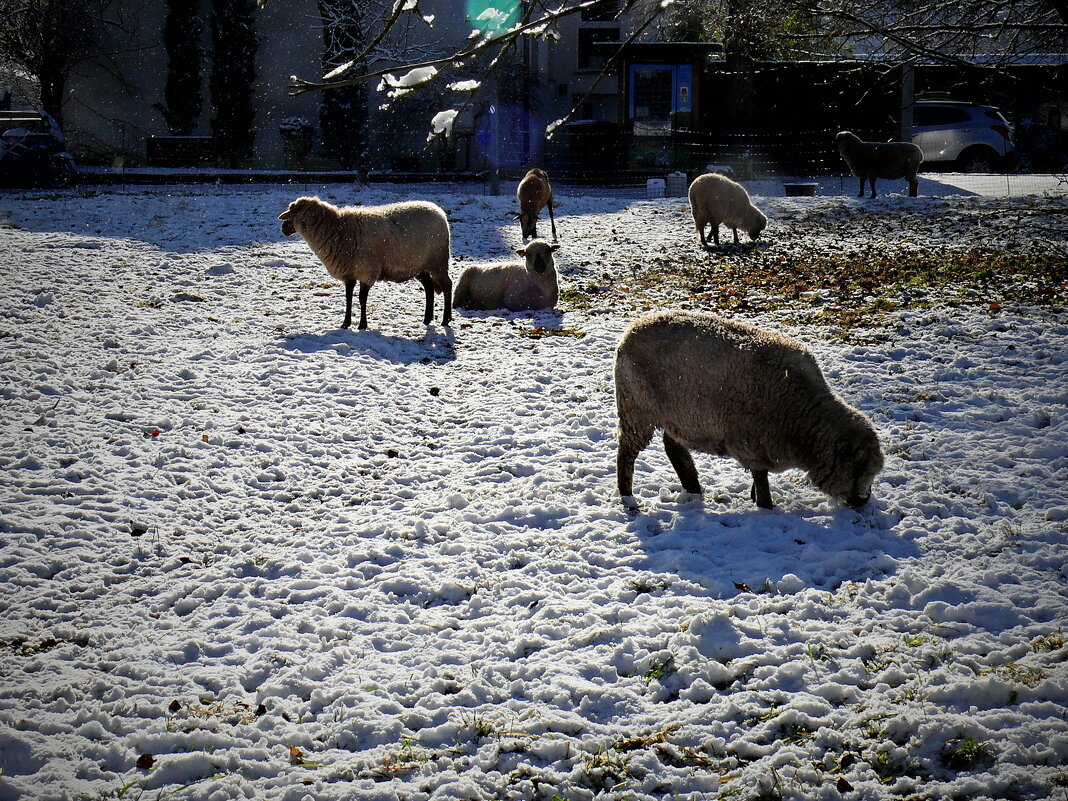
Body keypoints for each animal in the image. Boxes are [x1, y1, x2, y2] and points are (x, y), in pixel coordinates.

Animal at [279, 196, 450, 331]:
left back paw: (445, 320)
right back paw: (427, 319)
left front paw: (362, 325)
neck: (339, 230)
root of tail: (439, 211)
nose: (282, 228)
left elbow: (362, 298)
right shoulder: (349, 273)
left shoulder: (367, 272)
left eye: (292, 213)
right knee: (429, 287)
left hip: (438, 261)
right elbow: (348, 298)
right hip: (419, 266)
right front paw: (345, 324)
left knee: (447, 285)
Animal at [619, 309, 884, 510]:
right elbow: (761, 478)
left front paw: (754, 496)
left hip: (677, 415)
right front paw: (765, 506)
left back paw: (693, 487)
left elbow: (759, 478)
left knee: (673, 446)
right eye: (857, 467)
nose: (863, 501)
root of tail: (633, 328)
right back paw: (627, 497)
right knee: (627, 453)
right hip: (636, 408)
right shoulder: (753, 444)